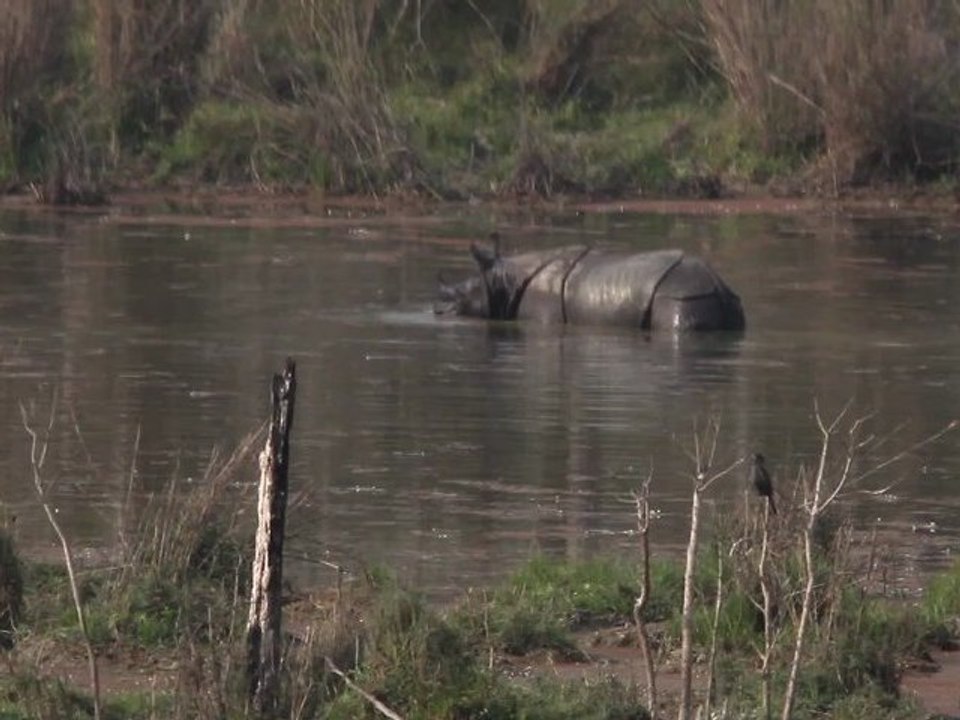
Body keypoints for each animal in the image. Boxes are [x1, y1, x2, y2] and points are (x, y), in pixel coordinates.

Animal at [435, 235, 745, 332]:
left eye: (458, 295)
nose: (436, 310)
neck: (503, 278)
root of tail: (716, 283)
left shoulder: (543, 316)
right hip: (721, 298)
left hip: (682, 298)